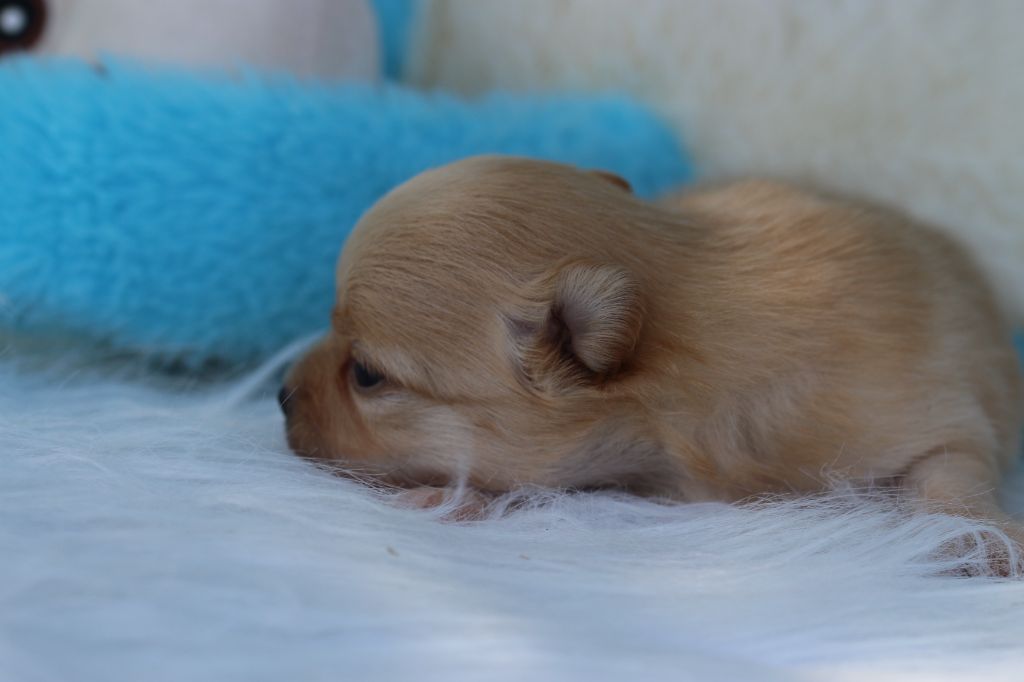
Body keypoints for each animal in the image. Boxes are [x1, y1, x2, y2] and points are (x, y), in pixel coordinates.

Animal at [281, 155, 1023, 570]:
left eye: (366, 375)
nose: (281, 395)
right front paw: (448, 497)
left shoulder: (933, 411)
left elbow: (953, 474)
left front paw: (987, 538)